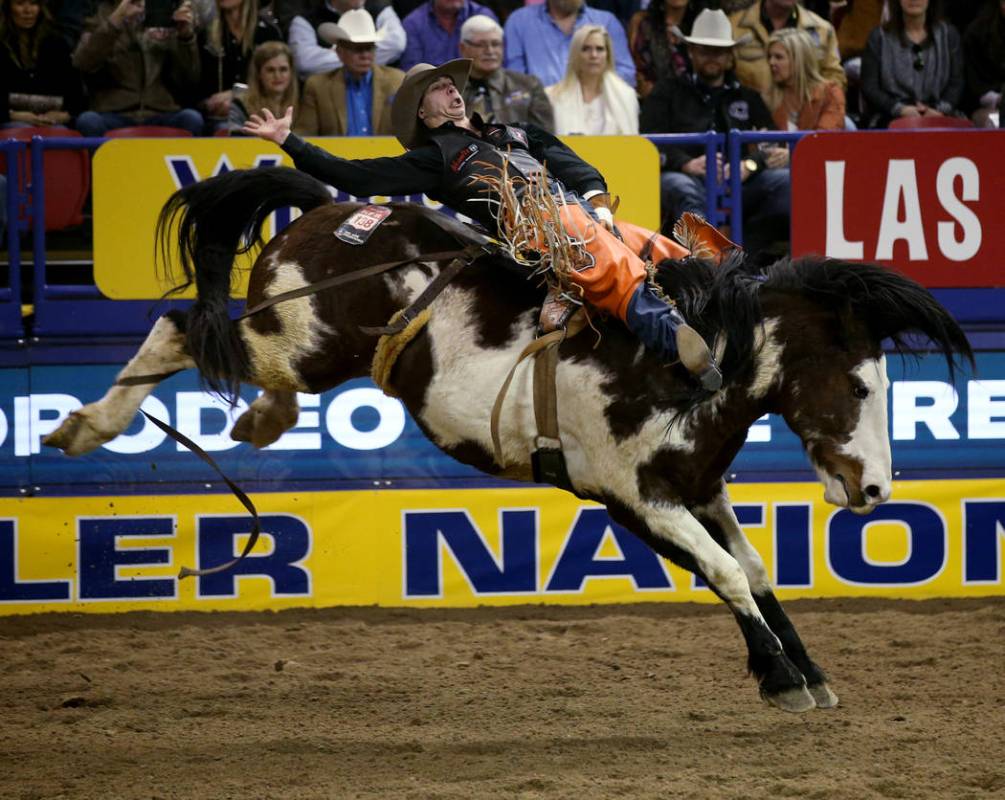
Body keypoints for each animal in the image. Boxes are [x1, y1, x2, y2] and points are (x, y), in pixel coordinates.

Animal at [41, 166, 972, 711]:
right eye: (860, 385)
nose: (877, 490)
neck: (691, 357)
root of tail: (328, 209)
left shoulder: (700, 489)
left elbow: (752, 570)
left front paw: (805, 668)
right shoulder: (634, 498)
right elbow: (720, 573)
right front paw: (779, 677)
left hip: (306, 352)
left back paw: (247, 420)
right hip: (296, 339)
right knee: (180, 330)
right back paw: (84, 425)